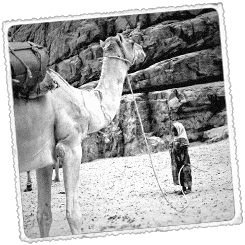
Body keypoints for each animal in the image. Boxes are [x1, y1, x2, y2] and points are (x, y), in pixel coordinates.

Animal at [14, 33, 145, 237]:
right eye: (131, 42)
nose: (143, 50)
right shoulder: (71, 146)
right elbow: (73, 214)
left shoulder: (44, 157)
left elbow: (43, 215)